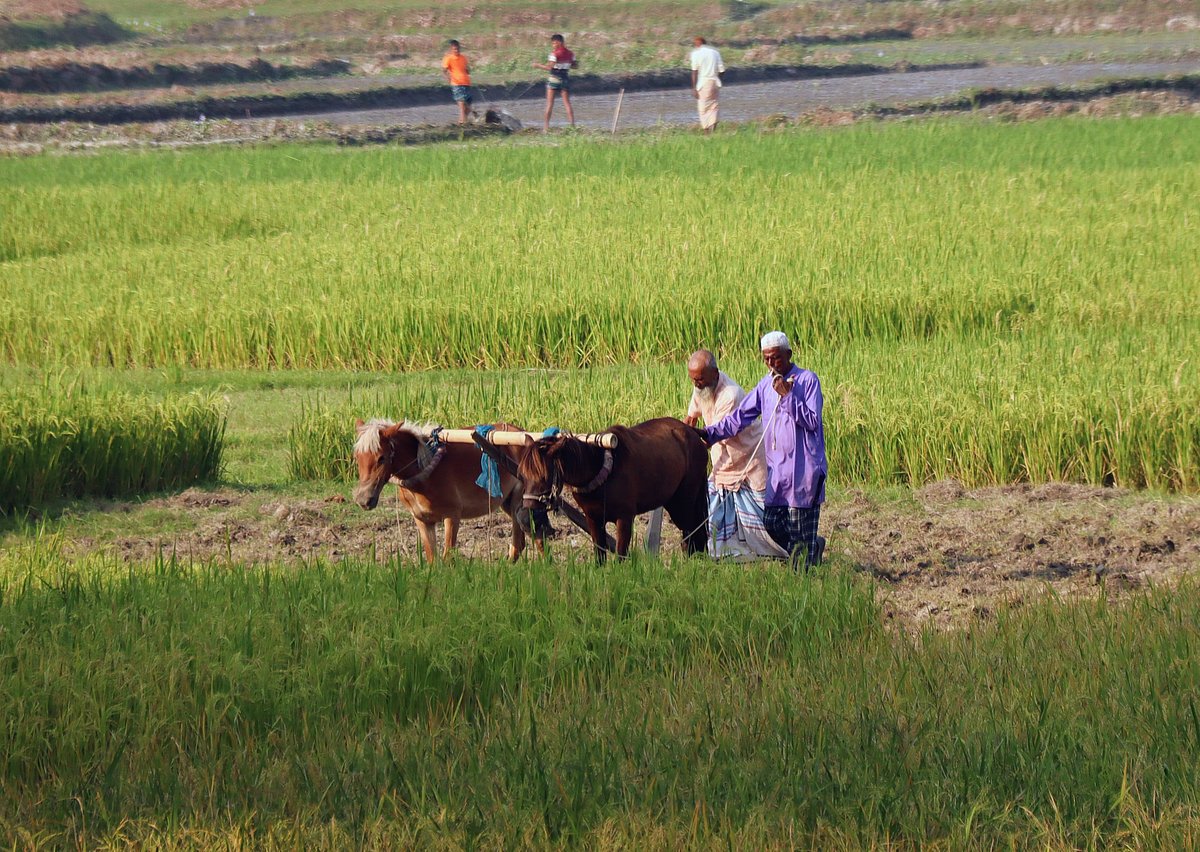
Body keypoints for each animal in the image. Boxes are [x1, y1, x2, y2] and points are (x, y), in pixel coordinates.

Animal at [353, 419, 538, 562]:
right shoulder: (422, 520)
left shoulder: (452, 515)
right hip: (507, 502)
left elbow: (447, 557)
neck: (425, 470)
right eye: (357, 457)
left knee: (527, 539)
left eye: (381, 458)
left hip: (520, 500)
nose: (364, 500)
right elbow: (432, 559)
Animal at [517, 417, 709, 561]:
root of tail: (691, 431)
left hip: (684, 502)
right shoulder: (593, 519)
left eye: (545, 476)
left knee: (691, 531)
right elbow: (599, 555)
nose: (526, 518)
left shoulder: (624, 518)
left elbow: (620, 556)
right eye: (522, 476)